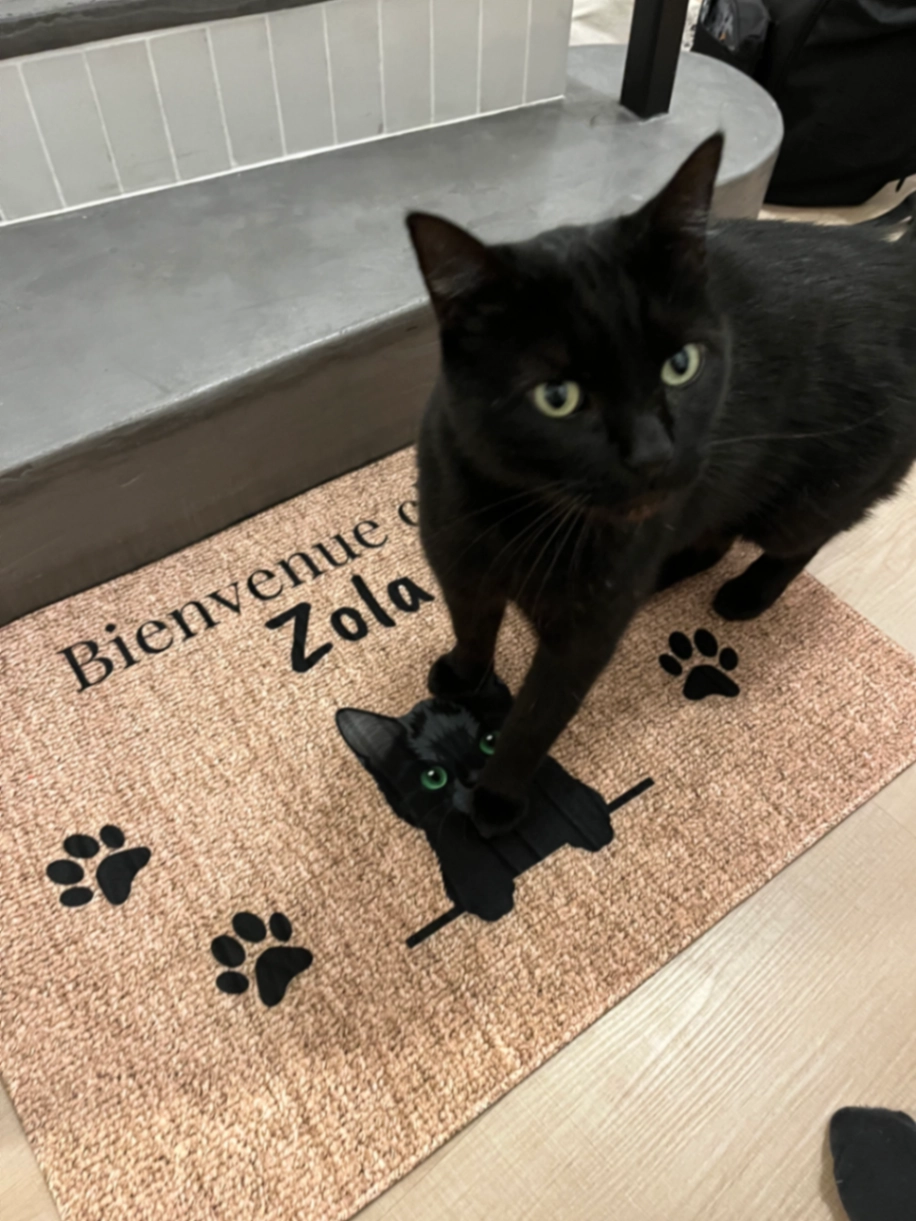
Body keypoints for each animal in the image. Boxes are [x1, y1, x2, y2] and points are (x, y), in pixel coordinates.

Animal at [405, 132, 916, 838]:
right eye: (557, 397)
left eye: (682, 365)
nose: (653, 452)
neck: (519, 515)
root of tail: (894, 258)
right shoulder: (460, 565)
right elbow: (473, 629)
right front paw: (463, 676)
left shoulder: (582, 635)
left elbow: (536, 718)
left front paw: (498, 797)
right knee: (713, 533)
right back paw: (666, 579)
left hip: (806, 490)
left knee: (794, 541)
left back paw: (745, 597)